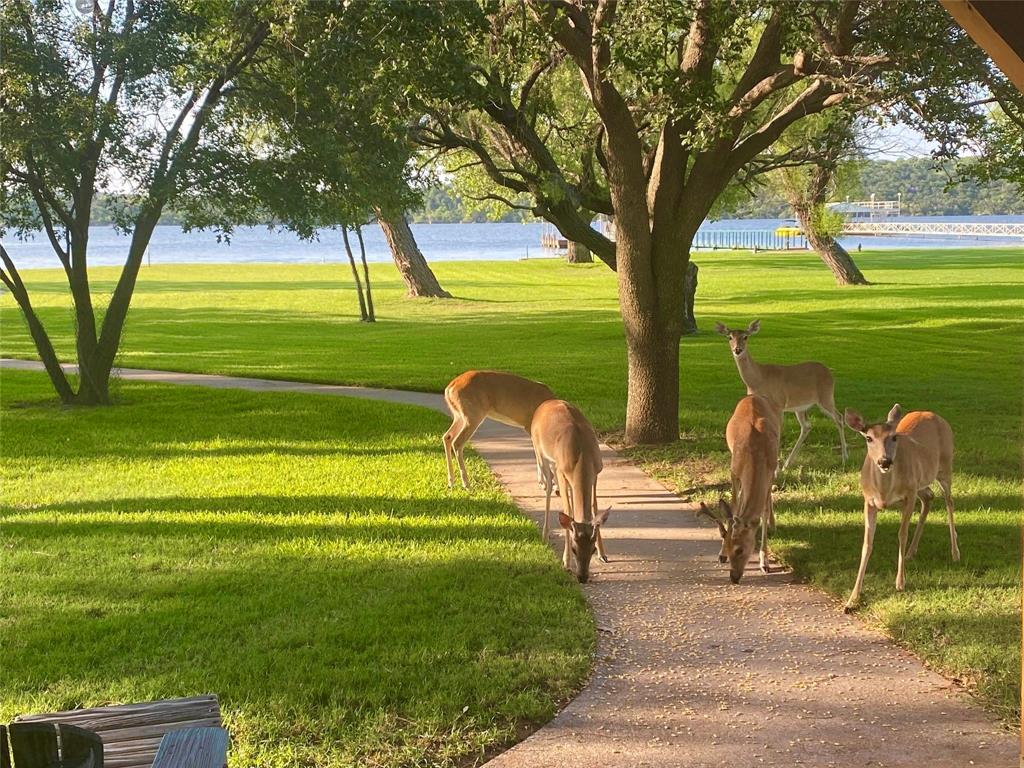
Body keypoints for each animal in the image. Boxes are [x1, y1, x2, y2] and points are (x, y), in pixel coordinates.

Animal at [531, 399, 610, 583]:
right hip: (541, 453)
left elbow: (594, 507)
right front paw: (566, 563)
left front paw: (603, 554)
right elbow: (568, 510)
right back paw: (545, 534)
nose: (582, 577)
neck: (582, 456)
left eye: (592, 549)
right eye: (574, 549)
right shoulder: (561, 471)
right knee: (548, 487)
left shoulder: (596, 472)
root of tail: (545, 403)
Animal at [698, 394, 781, 584]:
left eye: (740, 549)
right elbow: (734, 506)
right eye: (728, 545)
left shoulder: (770, 471)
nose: (733, 577)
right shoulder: (734, 470)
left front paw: (764, 562)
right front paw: (721, 554)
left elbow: (764, 510)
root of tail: (753, 396)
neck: (757, 454)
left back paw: (773, 523)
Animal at [716, 319, 847, 471]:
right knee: (807, 426)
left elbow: (777, 431)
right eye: (729, 337)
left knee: (839, 418)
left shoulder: (779, 404)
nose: (737, 349)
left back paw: (845, 458)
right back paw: (787, 464)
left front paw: (775, 468)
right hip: (801, 406)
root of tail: (830, 372)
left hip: (826, 396)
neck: (758, 379)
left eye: (746, 337)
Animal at [842, 404, 960, 612]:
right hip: (921, 482)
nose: (885, 461)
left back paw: (955, 553)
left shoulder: (909, 494)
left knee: (949, 503)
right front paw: (852, 598)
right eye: (868, 438)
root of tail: (935, 415)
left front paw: (900, 582)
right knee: (929, 497)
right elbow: (867, 543)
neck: (884, 492)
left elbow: (902, 535)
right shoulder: (868, 500)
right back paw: (911, 552)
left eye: (894, 437)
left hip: (945, 467)